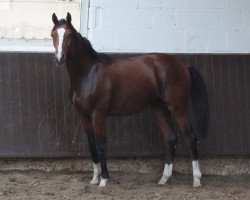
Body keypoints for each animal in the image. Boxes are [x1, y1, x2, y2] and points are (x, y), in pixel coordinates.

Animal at [50, 12, 209, 188]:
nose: (59, 58)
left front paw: (104, 180)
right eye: (53, 34)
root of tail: (183, 66)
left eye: (70, 35)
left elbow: (100, 146)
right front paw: (94, 178)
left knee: (191, 138)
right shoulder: (83, 115)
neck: (89, 73)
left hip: (178, 107)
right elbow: (92, 146)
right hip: (159, 108)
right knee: (170, 138)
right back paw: (163, 179)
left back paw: (196, 180)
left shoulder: (99, 114)